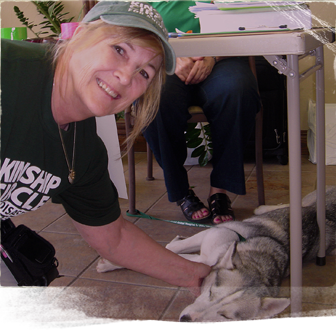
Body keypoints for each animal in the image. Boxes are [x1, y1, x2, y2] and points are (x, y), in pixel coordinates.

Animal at [96, 188, 334, 322]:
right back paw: (264, 207)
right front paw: (111, 261)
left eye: (225, 316)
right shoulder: (214, 233)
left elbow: (171, 255)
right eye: (210, 292)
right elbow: (170, 250)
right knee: (295, 202)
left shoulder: (207, 256)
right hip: (306, 201)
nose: (187, 320)